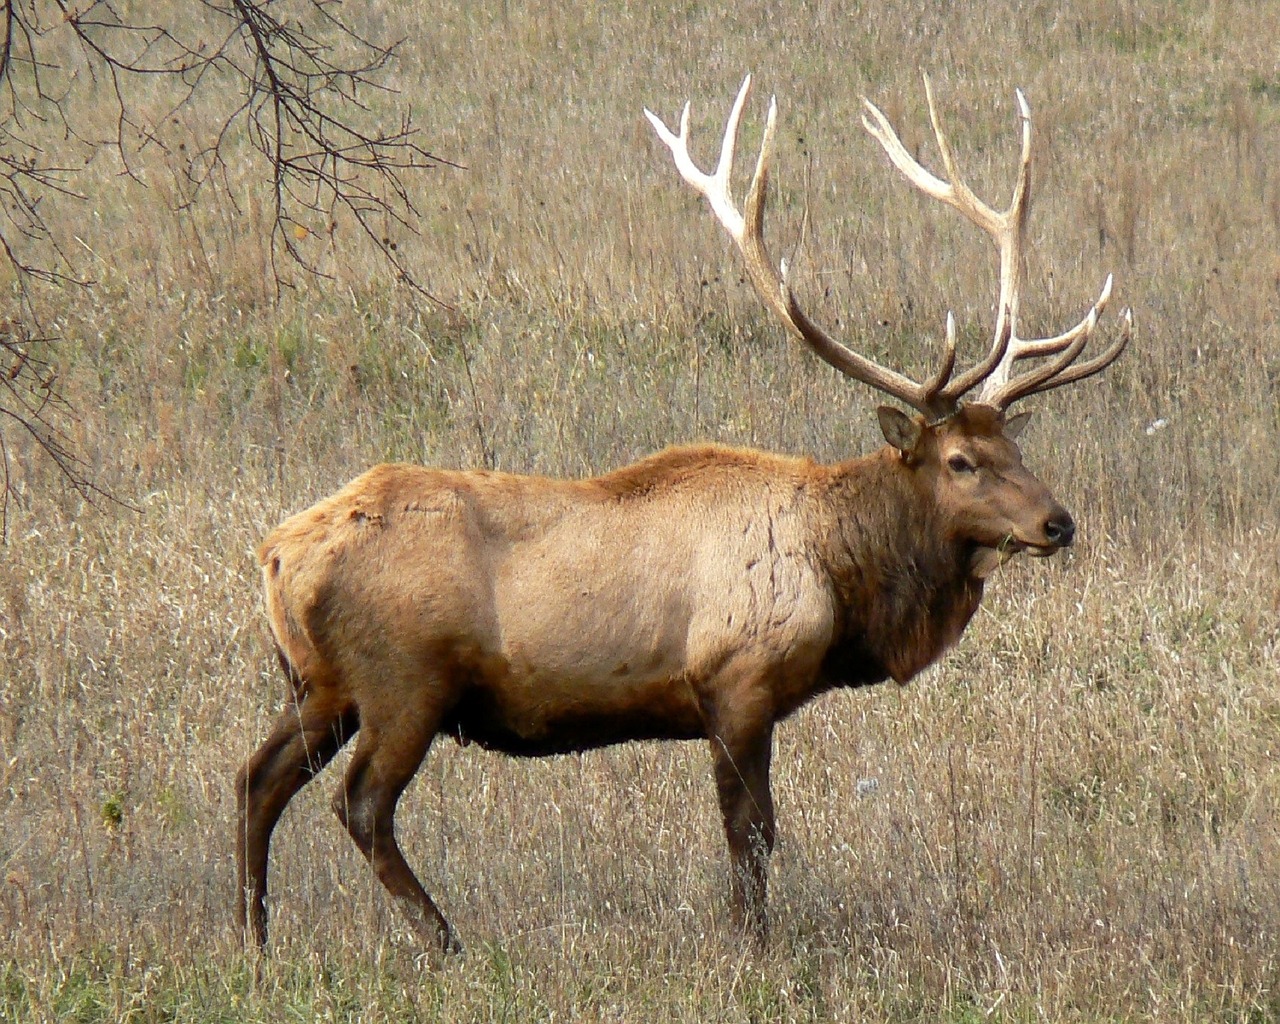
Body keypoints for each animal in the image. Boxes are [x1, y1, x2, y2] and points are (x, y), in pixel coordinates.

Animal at [232, 76, 1131, 957]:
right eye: (960, 462)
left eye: (1014, 442)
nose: (1058, 522)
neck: (843, 580)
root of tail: (275, 554)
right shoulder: (735, 679)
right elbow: (752, 833)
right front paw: (753, 948)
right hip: (403, 679)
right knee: (360, 802)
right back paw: (445, 940)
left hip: (321, 683)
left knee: (255, 778)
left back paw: (255, 938)